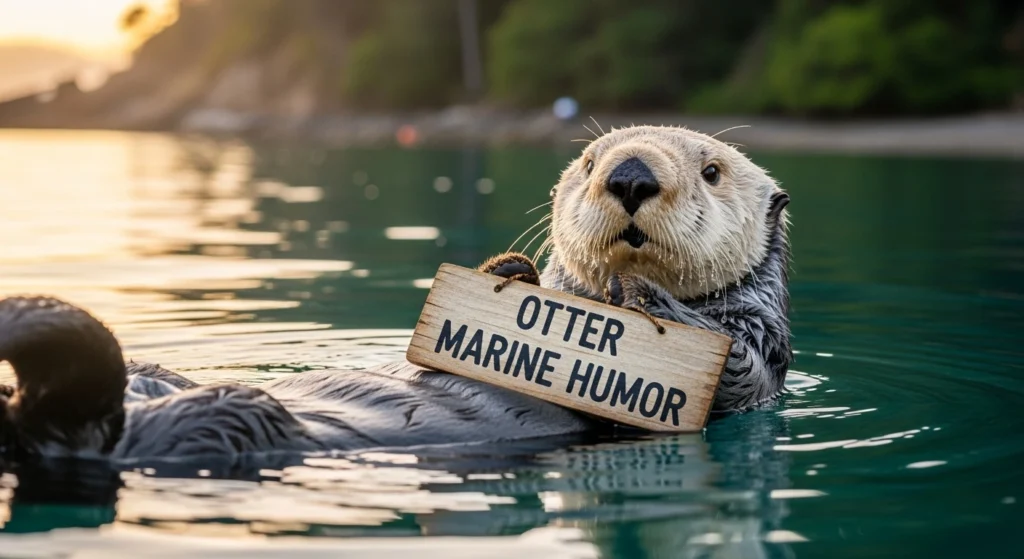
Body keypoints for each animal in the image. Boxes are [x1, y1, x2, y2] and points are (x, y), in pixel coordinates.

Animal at [0, 125, 790, 460]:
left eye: (712, 170)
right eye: (591, 161)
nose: (629, 173)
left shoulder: (755, 355)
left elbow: (737, 367)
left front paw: (645, 300)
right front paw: (511, 271)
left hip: (228, 420)